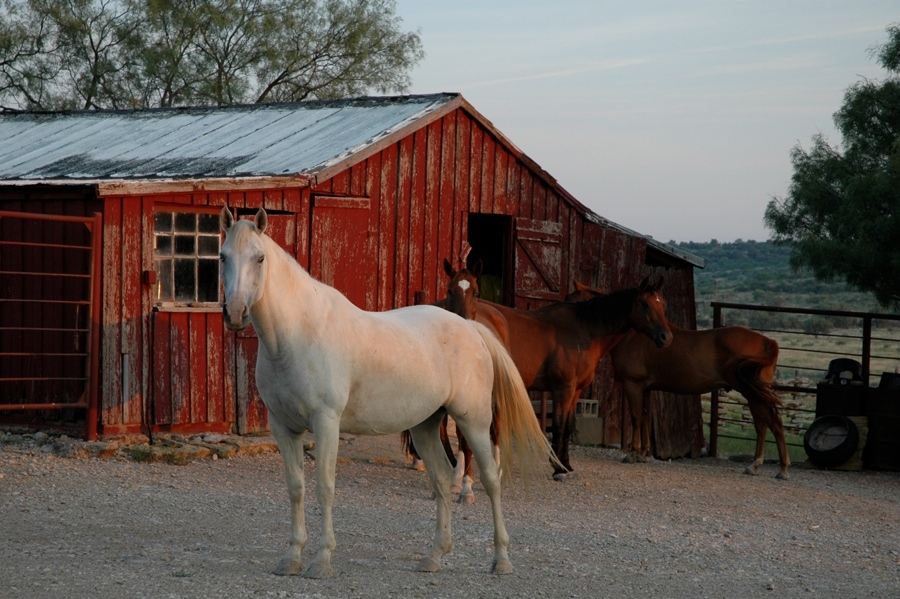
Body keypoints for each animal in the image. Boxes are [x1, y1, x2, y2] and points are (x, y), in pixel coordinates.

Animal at [568, 282, 788, 482]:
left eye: (571, 300)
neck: (635, 335)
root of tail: (768, 342)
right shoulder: (646, 389)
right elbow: (646, 417)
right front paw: (643, 454)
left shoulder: (634, 385)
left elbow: (636, 417)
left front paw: (632, 454)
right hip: (755, 393)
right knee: (763, 425)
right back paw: (758, 466)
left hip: (751, 393)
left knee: (771, 423)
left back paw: (777, 468)